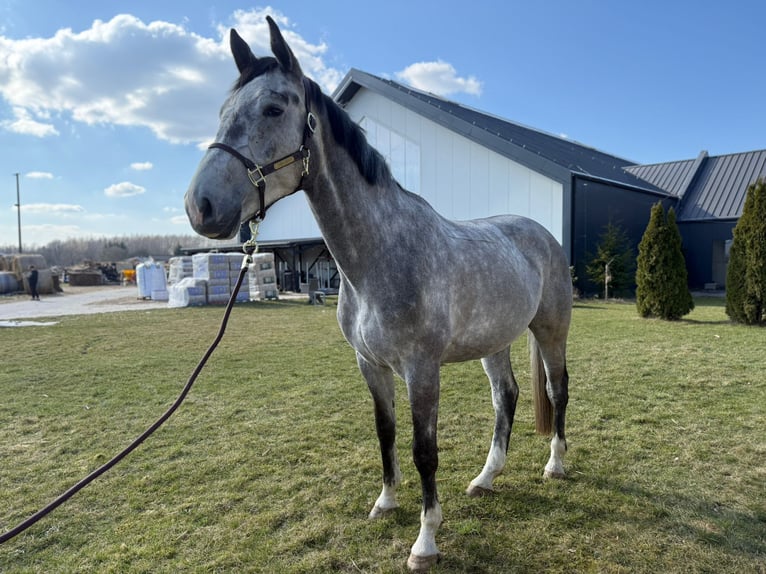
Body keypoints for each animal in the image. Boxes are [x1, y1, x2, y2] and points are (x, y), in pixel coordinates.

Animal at [185, 17, 572, 571]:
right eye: (222, 113)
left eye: (274, 108)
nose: (201, 206)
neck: (380, 256)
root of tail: (540, 234)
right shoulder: (370, 364)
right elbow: (385, 432)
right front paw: (386, 501)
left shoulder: (422, 370)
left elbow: (423, 450)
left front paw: (425, 541)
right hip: (494, 341)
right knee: (507, 397)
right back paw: (485, 478)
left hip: (551, 330)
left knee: (558, 391)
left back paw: (555, 465)